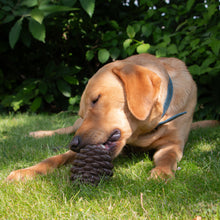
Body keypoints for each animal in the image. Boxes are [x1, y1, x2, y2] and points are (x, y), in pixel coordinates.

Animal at [6, 53, 219, 180]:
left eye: (96, 99)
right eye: (84, 110)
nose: (73, 144)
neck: (143, 131)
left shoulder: (173, 144)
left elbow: (167, 158)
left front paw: (161, 173)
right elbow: (53, 159)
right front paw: (27, 170)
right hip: (75, 126)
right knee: (64, 129)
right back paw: (37, 133)